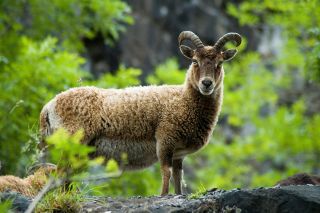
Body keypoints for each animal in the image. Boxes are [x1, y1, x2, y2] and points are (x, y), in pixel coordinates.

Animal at [39, 30, 240, 196]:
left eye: (220, 63)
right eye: (194, 61)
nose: (206, 84)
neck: (183, 100)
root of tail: (49, 106)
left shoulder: (178, 153)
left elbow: (178, 176)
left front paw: (177, 194)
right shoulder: (165, 139)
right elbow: (166, 172)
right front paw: (163, 195)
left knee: (66, 174)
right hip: (73, 141)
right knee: (61, 173)